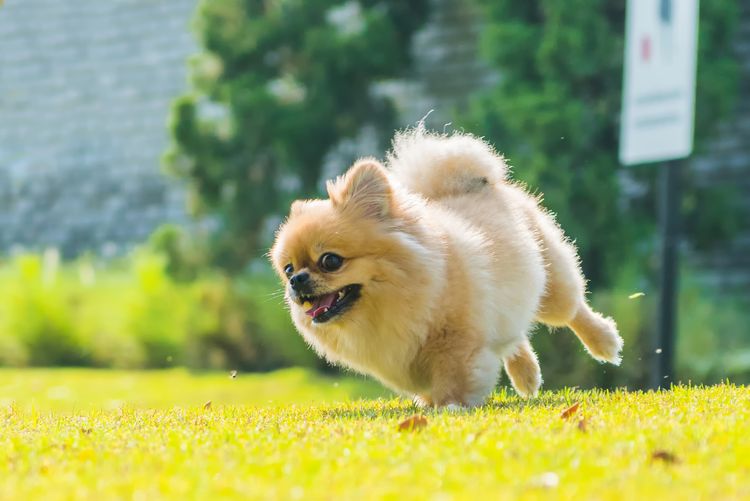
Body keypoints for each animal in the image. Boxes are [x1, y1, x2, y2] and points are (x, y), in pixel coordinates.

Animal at [270, 126, 624, 406]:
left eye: (330, 261)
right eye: (287, 268)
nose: (297, 280)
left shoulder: (456, 341)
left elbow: (454, 375)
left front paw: (449, 406)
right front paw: (430, 403)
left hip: (551, 284)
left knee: (572, 310)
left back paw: (604, 342)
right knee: (513, 335)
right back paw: (526, 374)